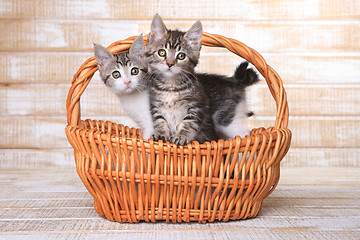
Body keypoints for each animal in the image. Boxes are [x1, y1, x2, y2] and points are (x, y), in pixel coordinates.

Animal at [145, 14, 218, 144]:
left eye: (181, 56)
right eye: (162, 52)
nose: (169, 64)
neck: (170, 88)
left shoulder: (197, 105)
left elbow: (189, 122)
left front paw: (181, 136)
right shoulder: (155, 104)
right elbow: (159, 120)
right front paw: (160, 133)